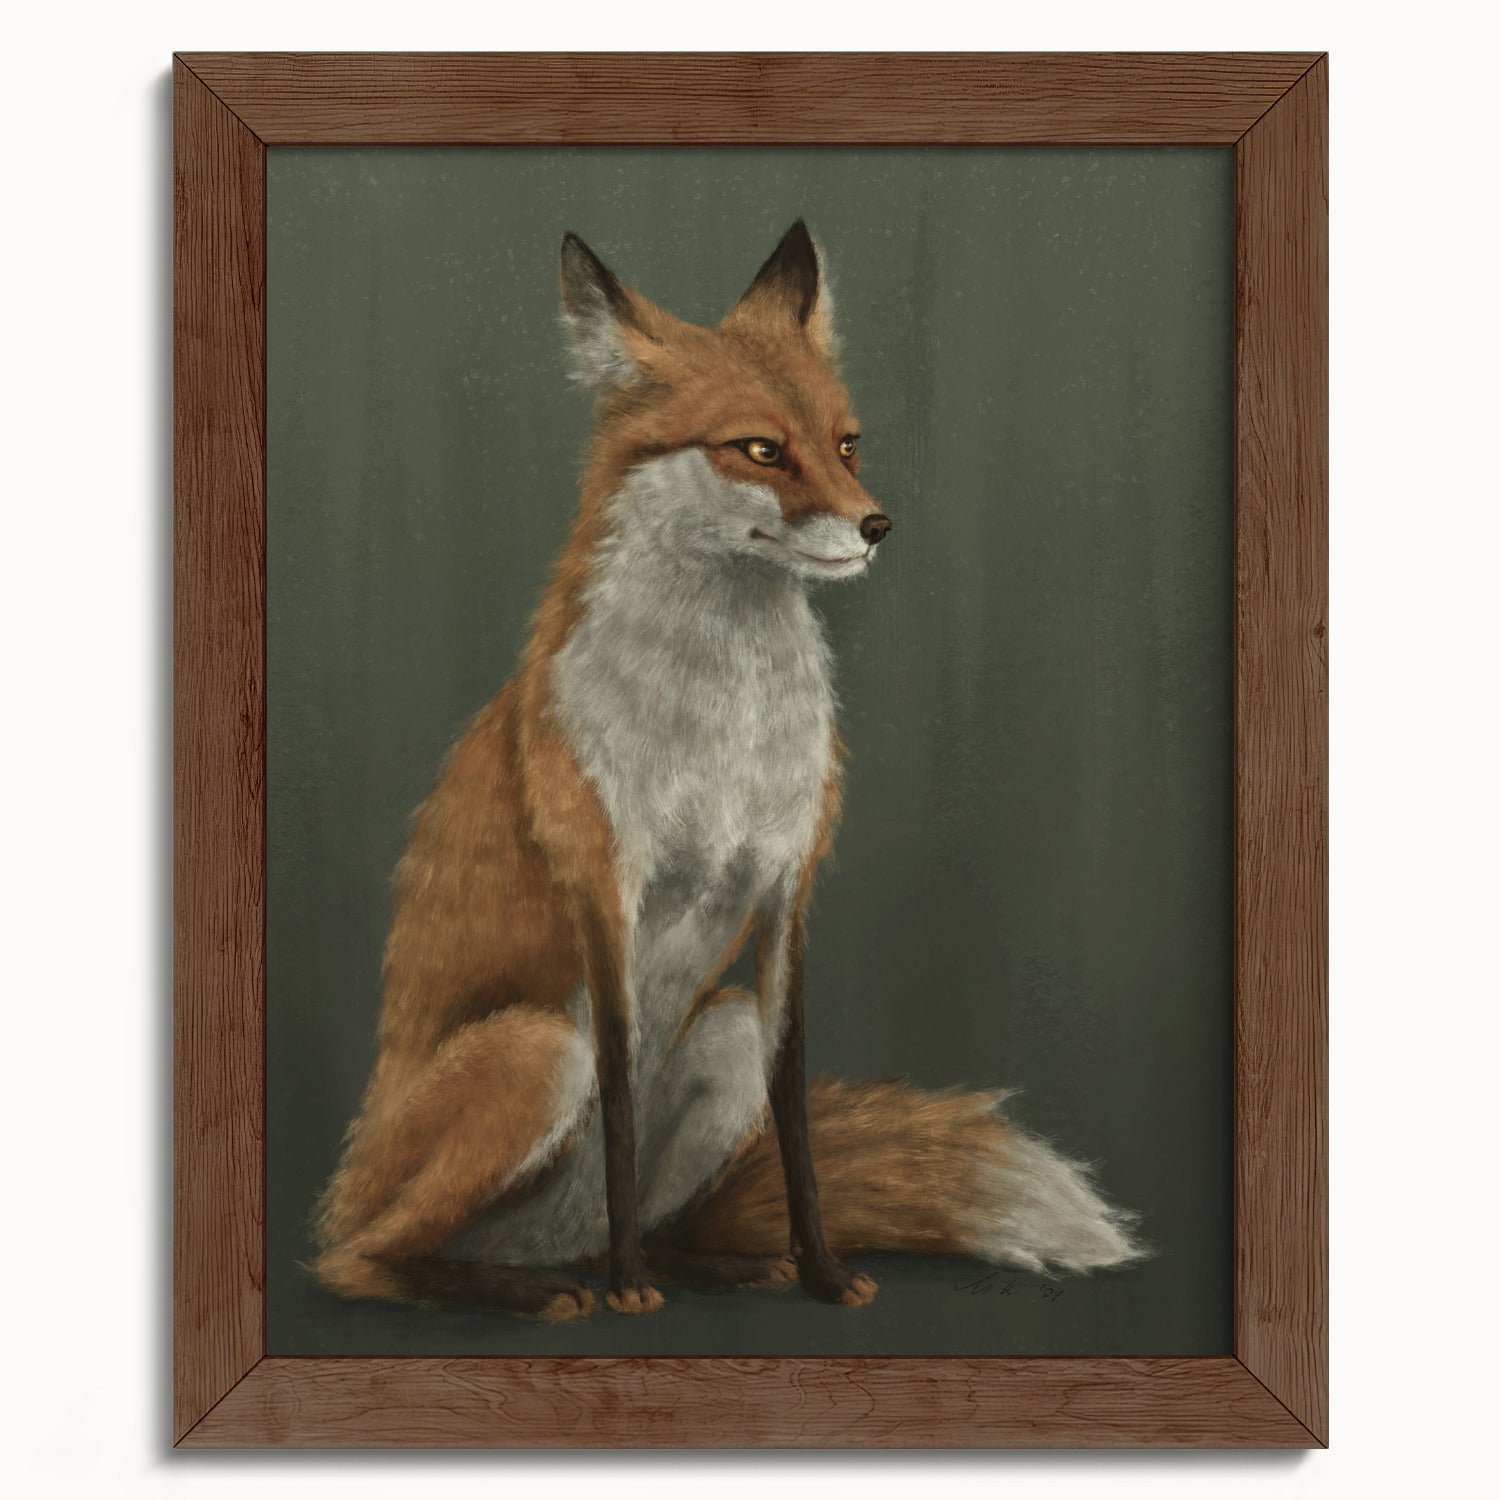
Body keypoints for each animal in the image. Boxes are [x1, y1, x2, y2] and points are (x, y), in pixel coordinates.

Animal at [312, 220, 1145, 1321]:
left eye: (847, 443)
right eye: (759, 449)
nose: (878, 525)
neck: (726, 732)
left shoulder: (787, 890)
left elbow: (794, 1115)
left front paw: (822, 1273)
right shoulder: (605, 892)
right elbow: (621, 1099)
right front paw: (630, 1293)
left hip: (722, 1033)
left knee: (638, 1215)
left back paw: (703, 1264)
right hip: (535, 1052)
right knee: (361, 1260)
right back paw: (542, 1288)